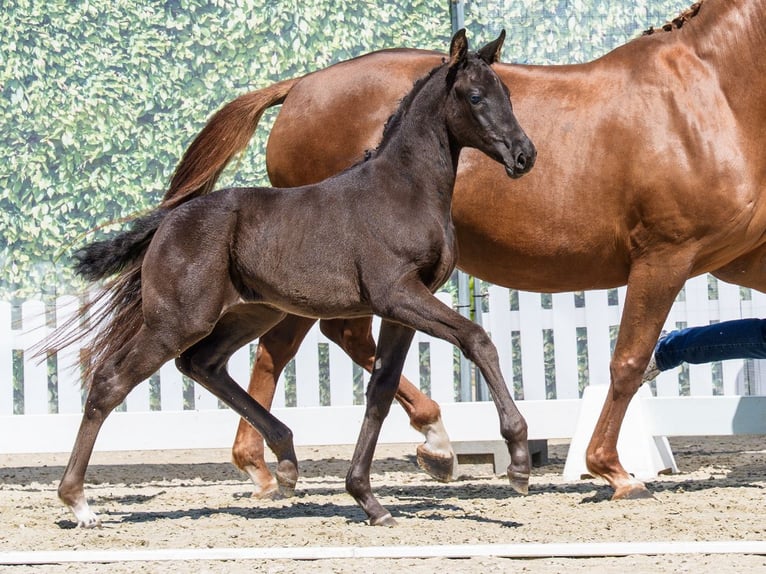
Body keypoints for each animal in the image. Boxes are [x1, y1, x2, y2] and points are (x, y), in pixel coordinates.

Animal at [49, 30, 536, 528]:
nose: (524, 155)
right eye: (475, 96)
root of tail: (168, 220)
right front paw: (518, 461)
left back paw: (284, 460)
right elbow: (477, 339)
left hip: (251, 313)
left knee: (202, 364)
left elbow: (380, 392)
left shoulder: (401, 309)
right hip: (178, 320)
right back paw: (78, 501)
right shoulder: (397, 294)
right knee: (111, 381)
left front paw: (367, 498)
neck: (404, 190)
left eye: (507, 93)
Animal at [162, 0, 766, 501]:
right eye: (476, 97)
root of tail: (300, 85)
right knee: (317, 341)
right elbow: (629, 360)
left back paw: (280, 463)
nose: (524, 155)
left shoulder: (741, 257)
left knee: (287, 347)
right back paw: (412, 444)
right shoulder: (665, 255)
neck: (710, 92)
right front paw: (612, 471)